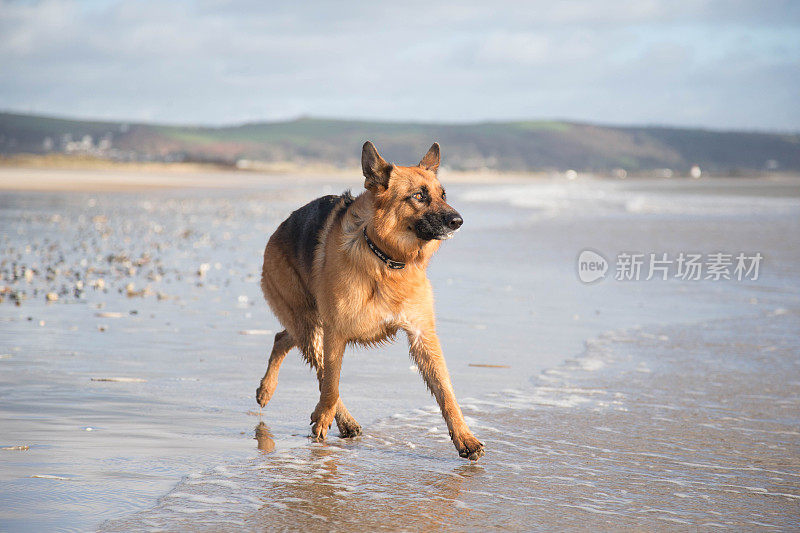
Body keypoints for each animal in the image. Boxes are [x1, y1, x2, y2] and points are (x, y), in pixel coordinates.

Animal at [256, 142, 484, 462]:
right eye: (418, 196)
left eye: (443, 195)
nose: (458, 221)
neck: (387, 260)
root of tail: (280, 228)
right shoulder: (336, 333)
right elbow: (331, 384)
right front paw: (324, 418)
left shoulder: (423, 337)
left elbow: (446, 393)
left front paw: (465, 438)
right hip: (311, 327)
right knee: (318, 369)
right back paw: (338, 418)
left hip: (309, 326)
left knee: (282, 338)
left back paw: (268, 390)